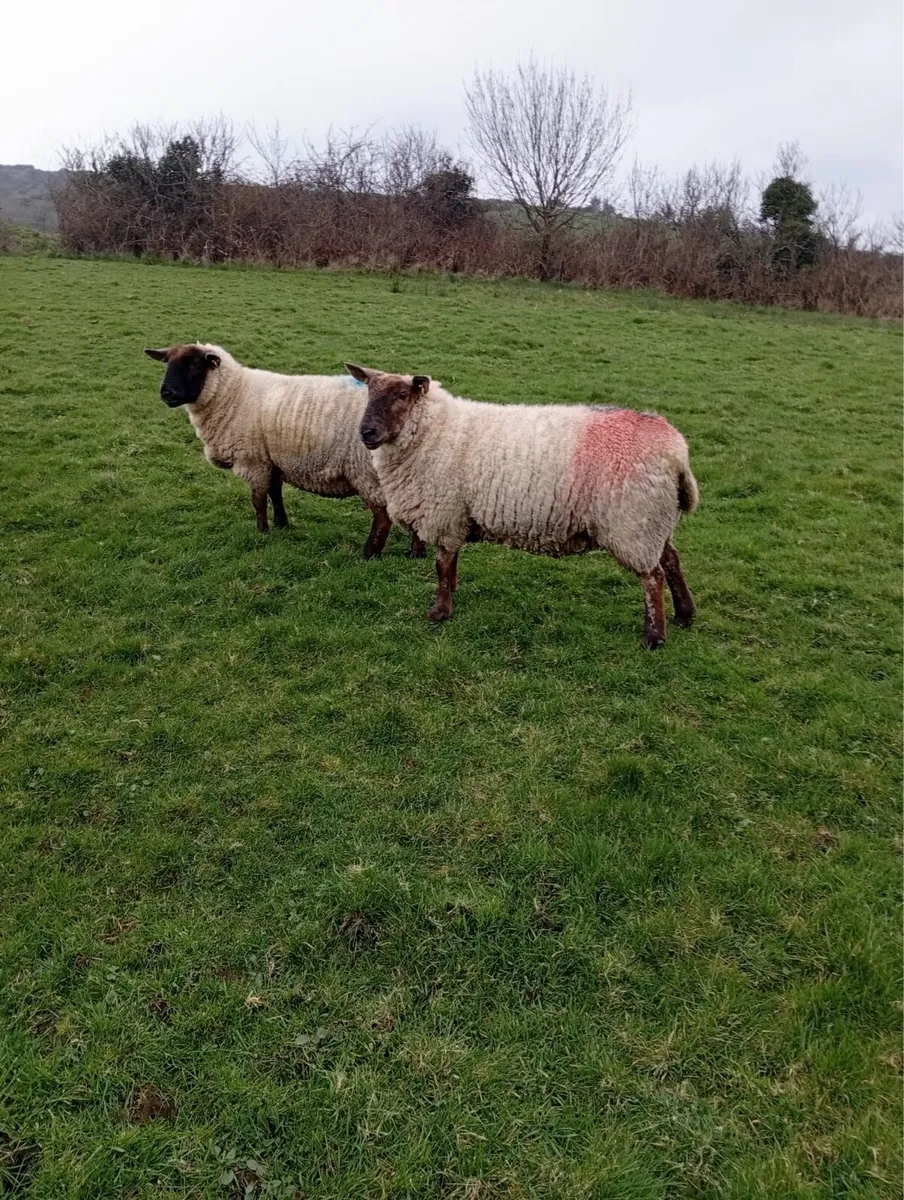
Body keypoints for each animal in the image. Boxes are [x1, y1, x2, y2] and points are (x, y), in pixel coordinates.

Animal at [144, 344, 425, 559]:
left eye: (194, 365)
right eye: (167, 362)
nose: (166, 393)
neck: (235, 394)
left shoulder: (254, 460)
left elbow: (258, 500)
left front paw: (262, 532)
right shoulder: (273, 460)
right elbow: (275, 493)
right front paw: (282, 524)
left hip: (365, 472)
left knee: (382, 517)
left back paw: (369, 555)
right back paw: (416, 553)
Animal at [347, 362, 698, 648]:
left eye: (402, 395)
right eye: (369, 391)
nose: (366, 432)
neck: (435, 432)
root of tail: (677, 450)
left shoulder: (444, 513)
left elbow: (442, 566)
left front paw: (439, 612)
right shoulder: (457, 514)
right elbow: (451, 563)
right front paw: (452, 594)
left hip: (633, 522)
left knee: (653, 577)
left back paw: (654, 637)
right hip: (655, 520)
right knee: (672, 561)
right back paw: (685, 616)